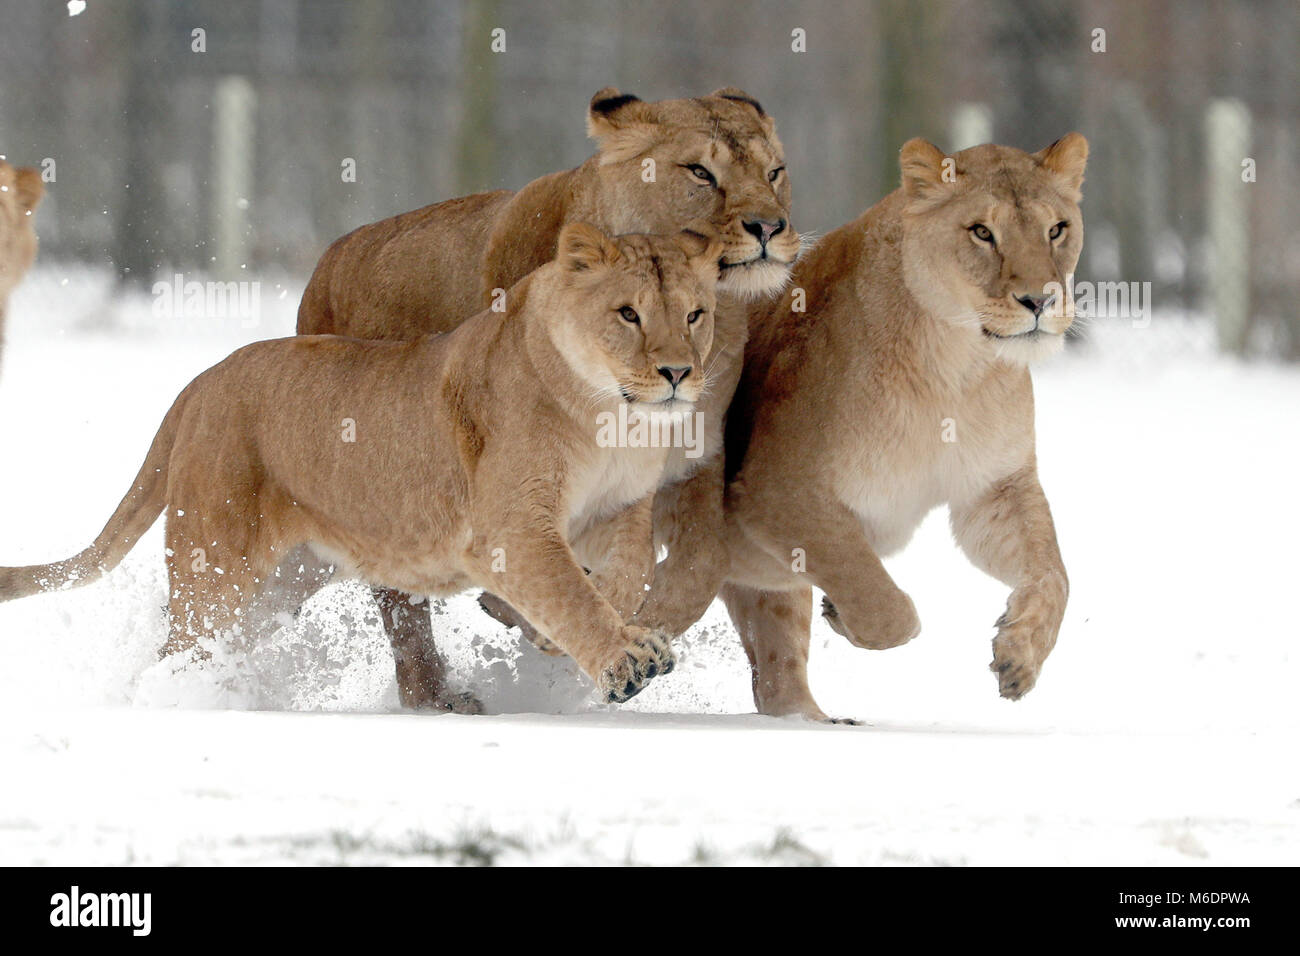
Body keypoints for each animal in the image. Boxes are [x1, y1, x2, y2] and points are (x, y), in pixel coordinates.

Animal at [0, 224, 721, 704]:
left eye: (696, 314)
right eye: (627, 314)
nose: (678, 373)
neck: (609, 416)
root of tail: (201, 380)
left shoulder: (616, 508)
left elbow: (629, 568)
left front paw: (587, 631)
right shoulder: (512, 531)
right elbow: (569, 591)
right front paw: (622, 659)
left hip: (278, 586)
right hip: (219, 571)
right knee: (182, 645)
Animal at [295, 88, 801, 710]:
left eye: (775, 172)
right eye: (700, 172)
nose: (769, 226)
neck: (720, 317)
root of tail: (327, 260)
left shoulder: (692, 469)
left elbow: (692, 568)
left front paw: (640, 627)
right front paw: (556, 625)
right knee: (401, 608)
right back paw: (435, 698)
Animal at [721, 134, 1088, 721]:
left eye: (1057, 229)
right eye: (981, 232)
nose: (1041, 300)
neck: (955, 364)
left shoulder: (995, 489)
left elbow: (1053, 571)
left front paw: (1019, 654)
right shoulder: (778, 489)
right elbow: (884, 602)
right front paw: (847, 615)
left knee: (776, 679)